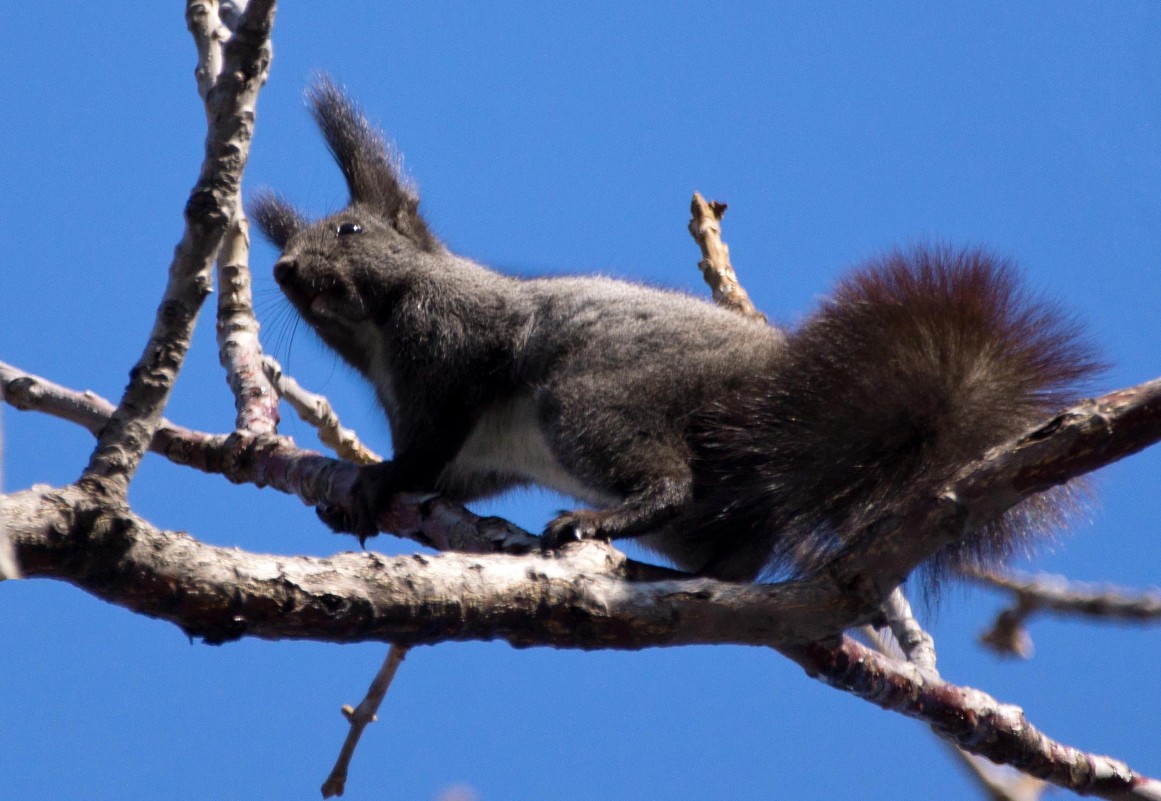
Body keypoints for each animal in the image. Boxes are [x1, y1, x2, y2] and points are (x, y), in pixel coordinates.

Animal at [249, 79, 1100, 580]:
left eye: (350, 229)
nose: (283, 271)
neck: (376, 338)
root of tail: (785, 395)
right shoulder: (474, 456)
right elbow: (456, 477)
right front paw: (352, 495)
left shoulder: (451, 342)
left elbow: (428, 446)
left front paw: (381, 477)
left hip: (594, 399)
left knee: (668, 479)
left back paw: (599, 518)